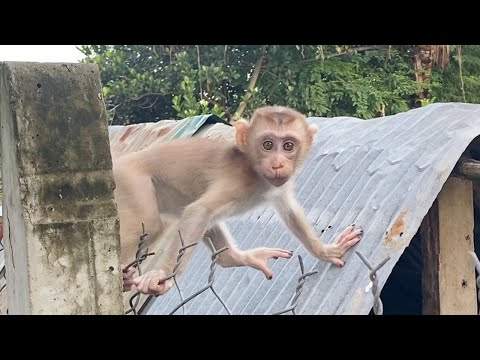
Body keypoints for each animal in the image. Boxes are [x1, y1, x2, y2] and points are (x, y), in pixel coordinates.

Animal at [111, 105, 360, 296]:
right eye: (267, 144)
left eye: (288, 145)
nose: (277, 164)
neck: (256, 172)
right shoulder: (238, 179)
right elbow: (200, 209)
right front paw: (161, 274)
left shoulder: (279, 186)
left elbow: (290, 212)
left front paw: (326, 252)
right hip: (130, 181)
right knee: (154, 223)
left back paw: (233, 258)